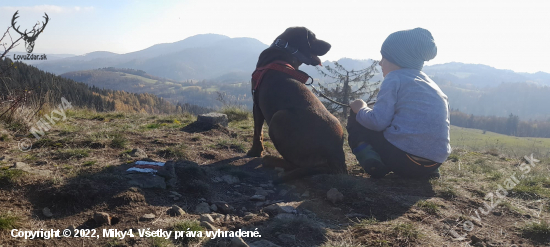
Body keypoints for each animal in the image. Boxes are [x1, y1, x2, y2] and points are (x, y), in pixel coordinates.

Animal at [248, 26, 348, 183]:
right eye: (313, 37)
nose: (330, 45)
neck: (283, 50)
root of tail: (336, 156)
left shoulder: (256, 103)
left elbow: (257, 132)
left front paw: (255, 151)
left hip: (278, 117)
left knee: (295, 164)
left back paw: (271, 160)